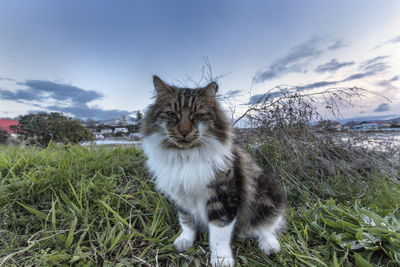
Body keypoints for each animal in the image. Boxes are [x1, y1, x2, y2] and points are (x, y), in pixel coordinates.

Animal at [141, 76, 284, 267]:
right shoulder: (182, 198)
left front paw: (221, 259)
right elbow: (187, 223)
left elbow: (218, 236)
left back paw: (270, 246)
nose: (184, 132)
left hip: (270, 193)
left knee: (267, 228)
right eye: (172, 114)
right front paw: (185, 241)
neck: (186, 156)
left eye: (198, 116)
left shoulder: (222, 199)